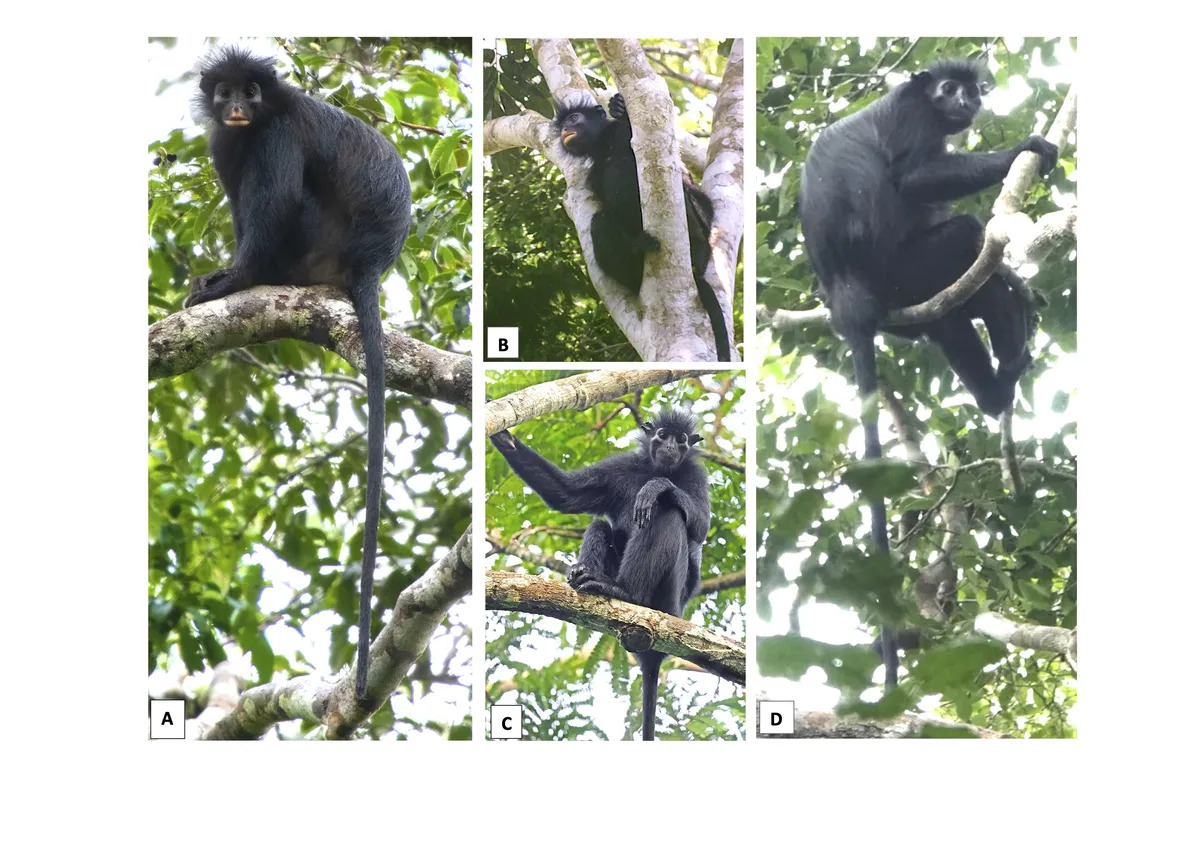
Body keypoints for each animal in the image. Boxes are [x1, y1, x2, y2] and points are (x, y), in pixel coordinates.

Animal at [185, 46, 412, 699]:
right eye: (227, 91)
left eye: (253, 92)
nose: (237, 106)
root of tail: (369, 263)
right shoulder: (223, 141)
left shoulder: (277, 131)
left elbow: (274, 198)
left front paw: (233, 280)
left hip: (317, 239)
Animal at [490, 408, 711, 739]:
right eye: (662, 435)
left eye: (682, 439)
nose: (672, 446)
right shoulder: (622, 468)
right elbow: (566, 494)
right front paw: (505, 438)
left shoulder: (696, 474)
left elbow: (700, 524)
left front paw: (657, 487)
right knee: (600, 525)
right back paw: (586, 575)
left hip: (670, 598)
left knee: (668, 513)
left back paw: (625, 591)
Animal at [554, 93, 732, 362]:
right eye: (564, 124)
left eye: (574, 119)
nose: (566, 129)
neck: (605, 147)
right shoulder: (593, 174)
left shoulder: (622, 136)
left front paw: (620, 108)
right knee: (599, 221)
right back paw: (638, 248)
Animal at [798, 58, 1058, 688]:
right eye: (948, 89)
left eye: (971, 90)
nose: (966, 101)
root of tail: (847, 296)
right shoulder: (915, 117)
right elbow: (914, 181)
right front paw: (1026, 147)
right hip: (907, 270)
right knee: (964, 237)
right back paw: (1006, 369)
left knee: (949, 320)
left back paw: (995, 384)